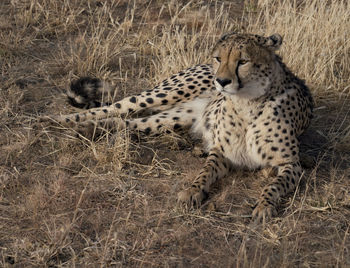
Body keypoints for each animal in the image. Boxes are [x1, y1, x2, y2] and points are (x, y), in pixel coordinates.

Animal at [42, 33, 314, 222]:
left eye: (243, 61)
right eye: (219, 58)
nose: (221, 81)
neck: (247, 102)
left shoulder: (291, 164)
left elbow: (274, 185)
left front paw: (264, 206)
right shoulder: (220, 152)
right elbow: (204, 171)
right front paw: (192, 191)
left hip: (172, 118)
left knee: (125, 122)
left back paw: (86, 131)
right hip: (163, 95)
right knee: (114, 107)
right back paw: (50, 120)